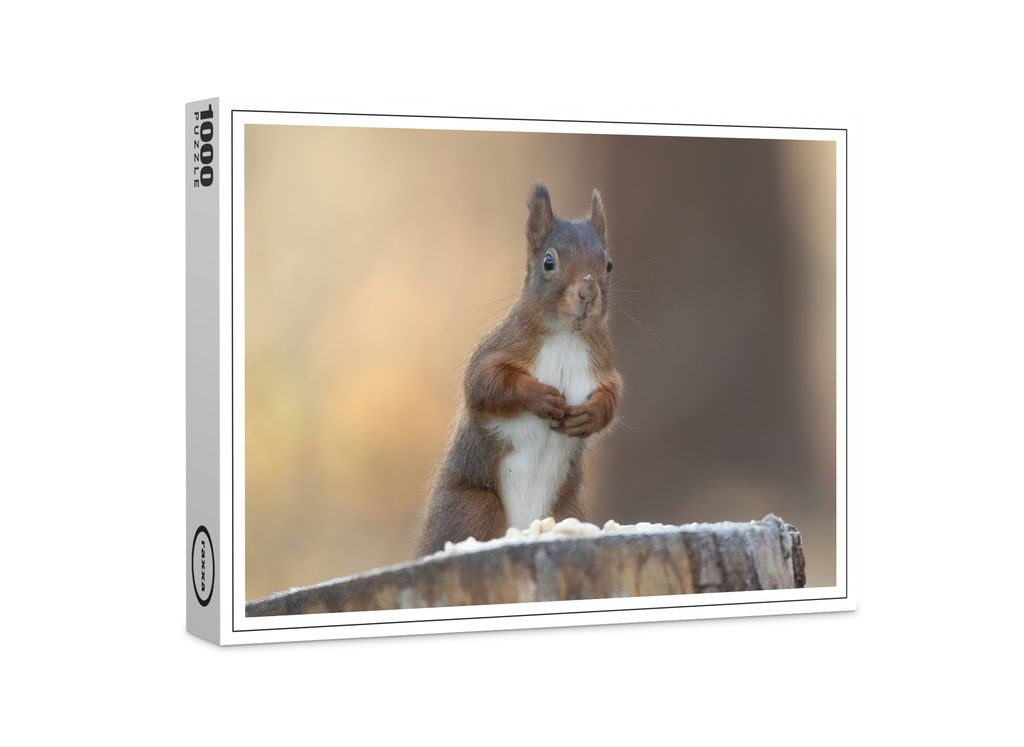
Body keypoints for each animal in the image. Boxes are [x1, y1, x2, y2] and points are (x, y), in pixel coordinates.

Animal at [416, 183, 622, 556]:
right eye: (549, 262)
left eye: (609, 264)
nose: (588, 292)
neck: (566, 335)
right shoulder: (498, 348)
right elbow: (484, 383)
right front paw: (540, 397)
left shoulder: (602, 366)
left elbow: (611, 399)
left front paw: (588, 416)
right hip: (476, 506)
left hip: (567, 508)